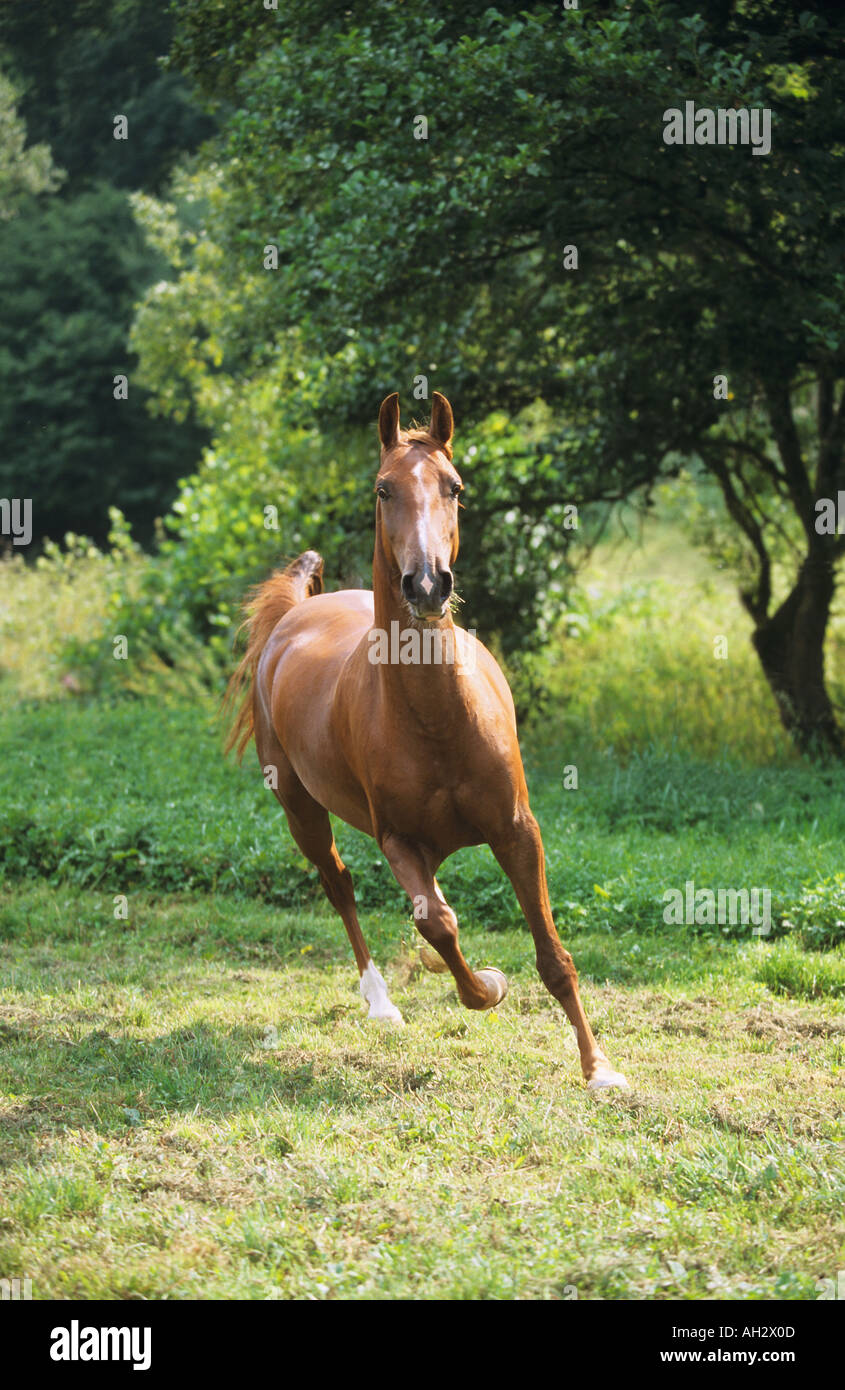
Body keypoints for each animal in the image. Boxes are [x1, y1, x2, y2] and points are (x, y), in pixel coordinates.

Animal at [225, 391, 628, 1084]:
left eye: (455, 486)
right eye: (383, 489)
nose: (427, 583)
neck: (438, 721)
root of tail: (293, 616)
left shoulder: (517, 830)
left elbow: (551, 953)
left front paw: (599, 1068)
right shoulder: (398, 840)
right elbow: (438, 925)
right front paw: (487, 985)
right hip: (301, 811)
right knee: (341, 885)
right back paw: (382, 1003)